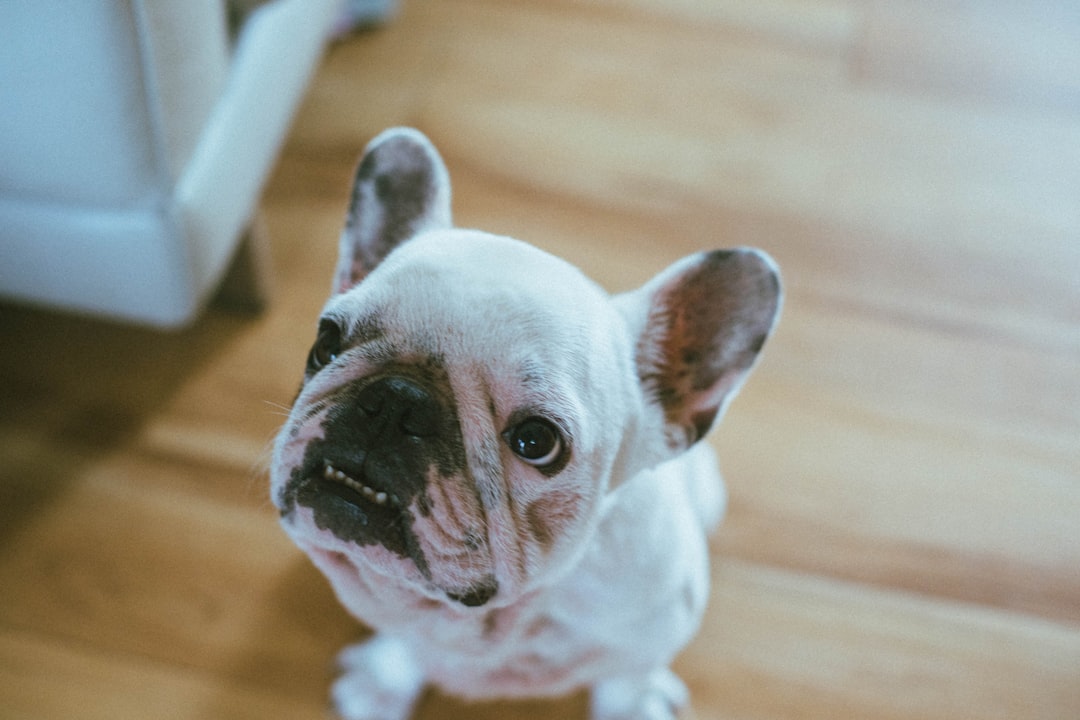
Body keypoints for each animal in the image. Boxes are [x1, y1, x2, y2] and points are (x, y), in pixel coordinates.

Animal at [267, 126, 777, 716]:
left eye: (537, 441)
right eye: (326, 343)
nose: (396, 401)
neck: (485, 622)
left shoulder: (655, 630)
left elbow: (628, 672)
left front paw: (633, 704)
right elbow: (404, 639)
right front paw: (385, 679)